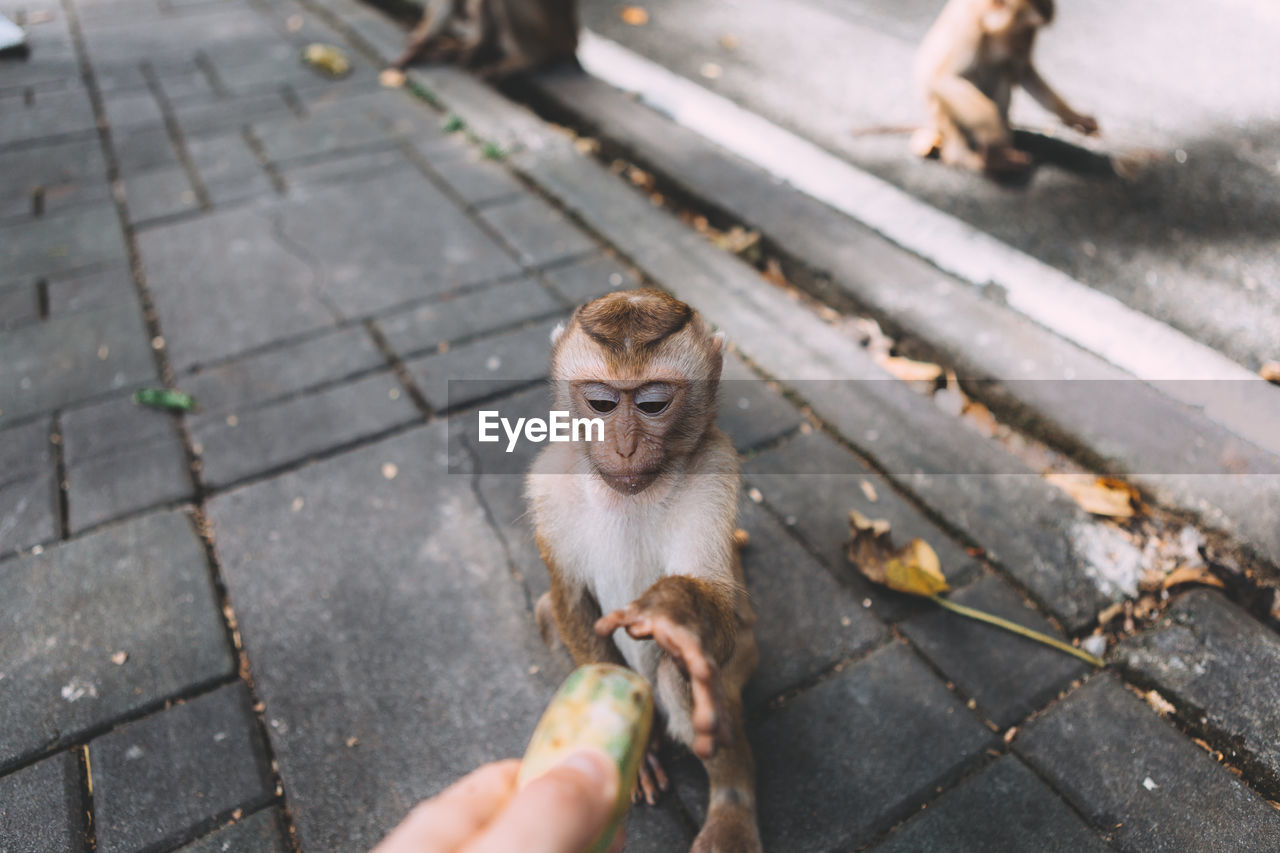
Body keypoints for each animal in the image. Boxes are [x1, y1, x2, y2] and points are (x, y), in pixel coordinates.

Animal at [527, 290, 757, 850]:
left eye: (653, 403)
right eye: (601, 404)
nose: (626, 445)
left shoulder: (715, 470)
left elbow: (712, 611)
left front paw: (676, 613)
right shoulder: (547, 482)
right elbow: (566, 598)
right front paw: (642, 748)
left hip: (747, 659)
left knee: (690, 675)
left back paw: (732, 802)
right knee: (546, 612)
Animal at [911, 0, 1100, 174]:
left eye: (1033, 32)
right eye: (1026, 30)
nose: (1026, 46)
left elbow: (1024, 73)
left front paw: (1075, 117)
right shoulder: (967, 30)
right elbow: (941, 79)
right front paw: (995, 134)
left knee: (1003, 72)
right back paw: (967, 157)